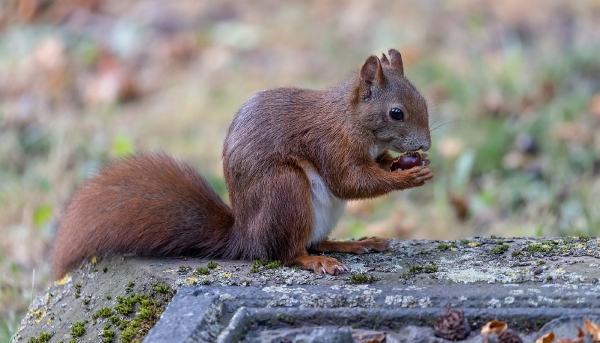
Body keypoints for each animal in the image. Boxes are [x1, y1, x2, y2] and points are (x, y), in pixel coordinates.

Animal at [50, 48, 432, 280]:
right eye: (396, 113)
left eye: (424, 100)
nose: (426, 145)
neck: (351, 118)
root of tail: (246, 238)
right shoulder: (331, 144)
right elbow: (349, 181)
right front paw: (410, 176)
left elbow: (370, 170)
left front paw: (400, 163)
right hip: (285, 190)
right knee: (287, 252)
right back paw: (316, 261)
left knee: (314, 240)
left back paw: (350, 244)